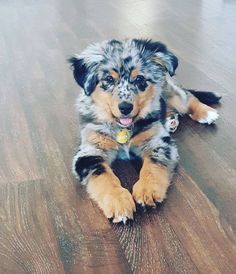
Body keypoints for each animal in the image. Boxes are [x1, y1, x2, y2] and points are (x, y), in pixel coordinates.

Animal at [69, 38, 220, 223]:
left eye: (140, 79)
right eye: (108, 79)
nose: (125, 108)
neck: (123, 127)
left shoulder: (158, 141)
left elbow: (153, 166)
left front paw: (147, 190)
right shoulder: (90, 150)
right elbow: (103, 175)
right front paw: (118, 202)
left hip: (170, 91)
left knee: (187, 97)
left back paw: (206, 113)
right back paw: (170, 119)